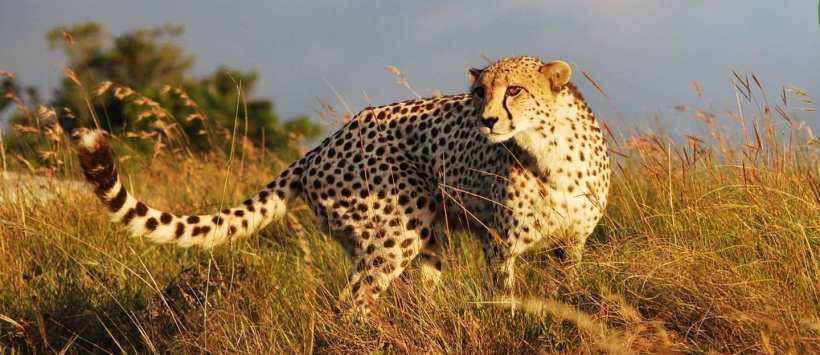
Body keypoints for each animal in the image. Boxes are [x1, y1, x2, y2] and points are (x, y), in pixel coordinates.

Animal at [75, 55, 608, 314]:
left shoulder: (573, 242)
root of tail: (327, 142)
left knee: (414, 290)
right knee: (352, 303)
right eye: (479, 92)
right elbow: (506, 296)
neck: (548, 150)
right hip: (395, 231)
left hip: (414, 237)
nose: (487, 119)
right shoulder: (500, 243)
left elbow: (570, 287)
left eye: (514, 89)